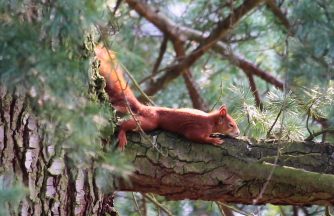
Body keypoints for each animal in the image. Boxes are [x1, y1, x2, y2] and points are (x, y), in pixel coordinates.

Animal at [94, 45, 240, 150]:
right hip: (150, 121)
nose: (238, 133)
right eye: (231, 125)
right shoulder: (197, 129)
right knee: (126, 125)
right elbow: (195, 136)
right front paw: (213, 140)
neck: (211, 121)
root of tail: (146, 108)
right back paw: (122, 134)